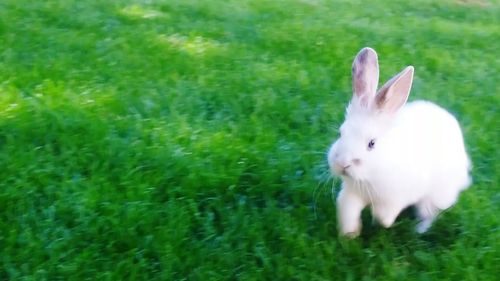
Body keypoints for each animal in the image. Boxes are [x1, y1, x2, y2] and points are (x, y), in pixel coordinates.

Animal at [328, 46, 472, 236]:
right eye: (341, 133)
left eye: (372, 143)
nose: (343, 164)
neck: (368, 177)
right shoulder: (351, 194)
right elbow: (347, 211)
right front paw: (350, 234)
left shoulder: (395, 198)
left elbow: (384, 216)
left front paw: (379, 221)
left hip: (433, 197)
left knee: (430, 214)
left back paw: (419, 230)